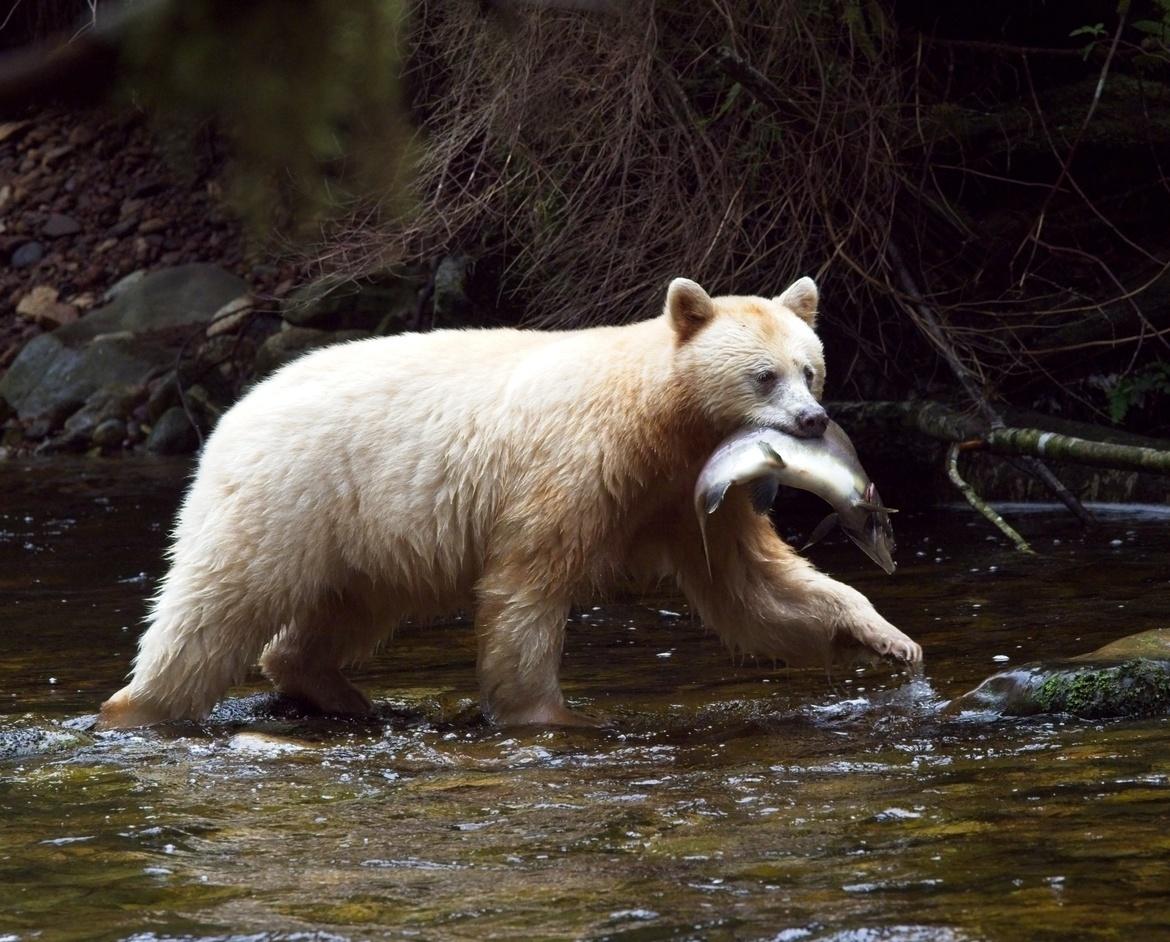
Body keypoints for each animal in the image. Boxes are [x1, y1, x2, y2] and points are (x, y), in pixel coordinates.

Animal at [97, 276, 921, 730]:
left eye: (810, 368)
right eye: (762, 375)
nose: (812, 420)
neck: (654, 422)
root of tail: (234, 412)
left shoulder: (682, 495)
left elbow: (755, 590)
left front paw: (885, 638)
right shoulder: (578, 467)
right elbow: (527, 586)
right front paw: (547, 714)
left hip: (360, 536)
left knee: (341, 610)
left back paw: (334, 690)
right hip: (288, 496)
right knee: (219, 604)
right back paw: (138, 707)